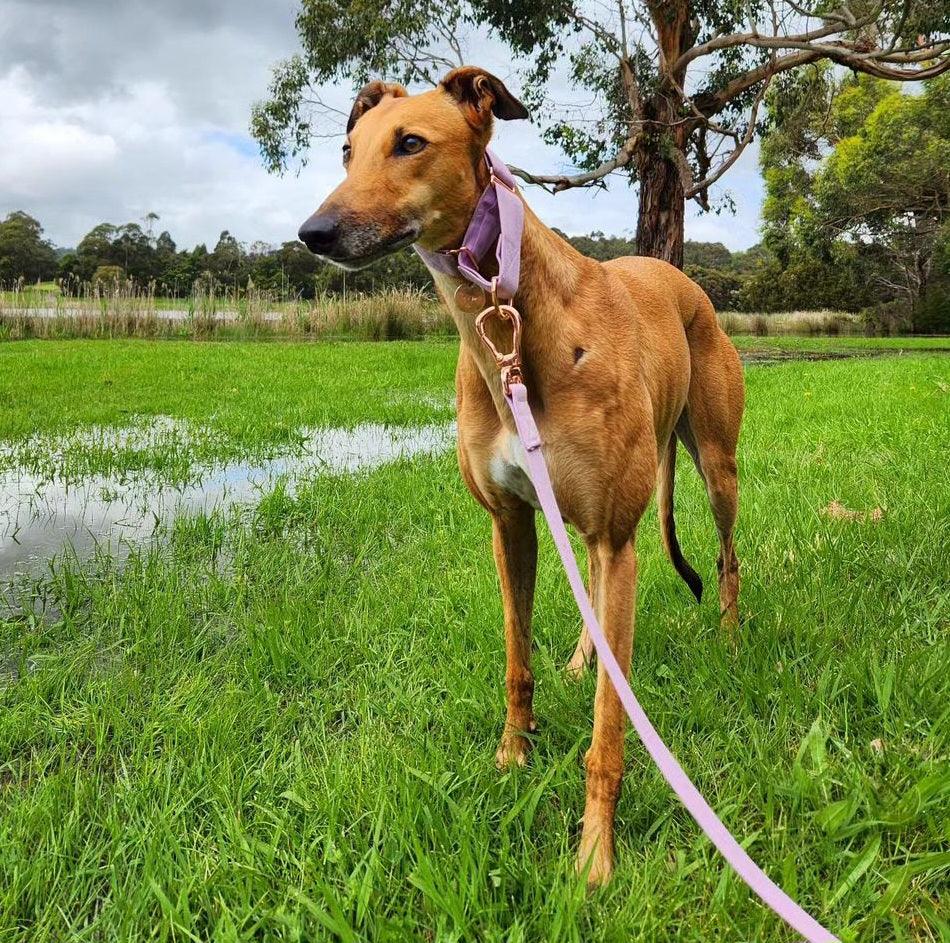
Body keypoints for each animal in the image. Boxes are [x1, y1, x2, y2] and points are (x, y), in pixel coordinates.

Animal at [298, 64, 744, 884]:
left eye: (411, 143)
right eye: (348, 150)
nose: (314, 233)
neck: (508, 320)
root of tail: (677, 276)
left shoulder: (616, 537)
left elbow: (609, 725)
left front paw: (595, 852)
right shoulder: (511, 524)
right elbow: (517, 655)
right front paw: (513, 754)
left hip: (715, 464)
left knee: (727, 557)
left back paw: (729, 638)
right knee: (596, 603)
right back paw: (583, 657)